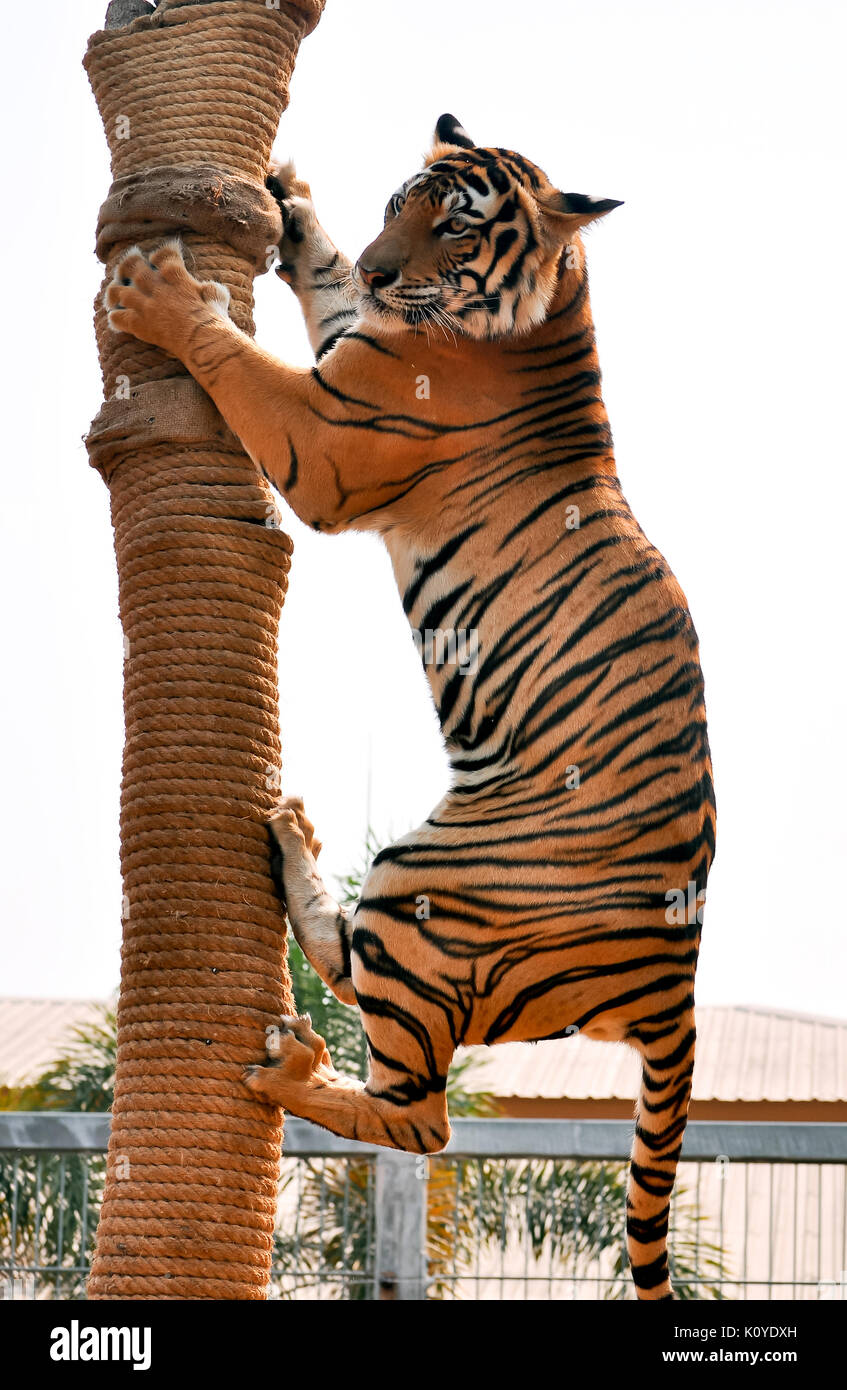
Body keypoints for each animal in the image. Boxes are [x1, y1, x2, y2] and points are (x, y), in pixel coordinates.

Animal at [104, 111, 712, 1301]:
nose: (394, 272)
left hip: (433, 888)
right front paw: (290, 202)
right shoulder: (352, 347)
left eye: (459, 228)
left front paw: (165, 294)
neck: (550, 308)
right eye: (398, 204)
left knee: (421, 1116)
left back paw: (289, 1073)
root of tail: (679, 974)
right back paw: (289, 836)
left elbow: (237, 358)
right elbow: (327, 278)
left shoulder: (325, 436)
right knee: (360, 995)